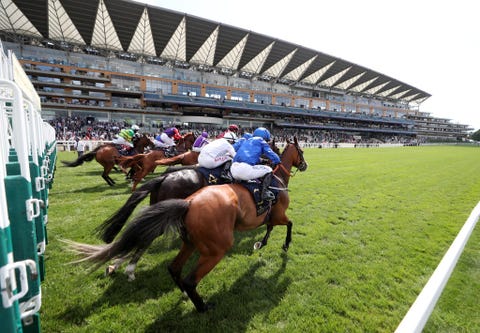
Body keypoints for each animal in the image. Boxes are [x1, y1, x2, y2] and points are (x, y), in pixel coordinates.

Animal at [66, 136, 308, 310]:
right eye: (301, 152)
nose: (305, 165)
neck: (275, 179)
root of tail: (164, 177)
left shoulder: (270, 215)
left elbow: (270, 226)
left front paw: (260, 243)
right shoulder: (277, 213)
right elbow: (286, 224)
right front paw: (279, 244)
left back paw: (118, 265)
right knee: (147, 238)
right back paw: (128, 268)